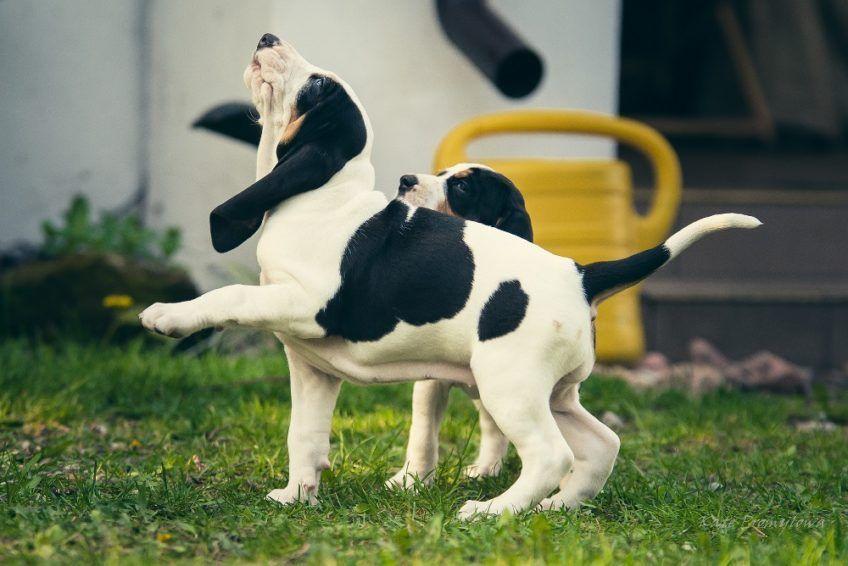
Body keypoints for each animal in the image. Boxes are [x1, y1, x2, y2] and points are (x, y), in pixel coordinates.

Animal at [141, 32, 760, 520]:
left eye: (315, 85)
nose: (269, 37)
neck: (323, 195)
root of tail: (579, 274)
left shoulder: (304, 305)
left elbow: (230, 294)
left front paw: (169, 315)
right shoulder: (311, 366)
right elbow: (305, 436)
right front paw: (297, 496)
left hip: (508, 387)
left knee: (551, 455)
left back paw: (493, 511)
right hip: (553, 392)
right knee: (601, 445)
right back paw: (557, 507)